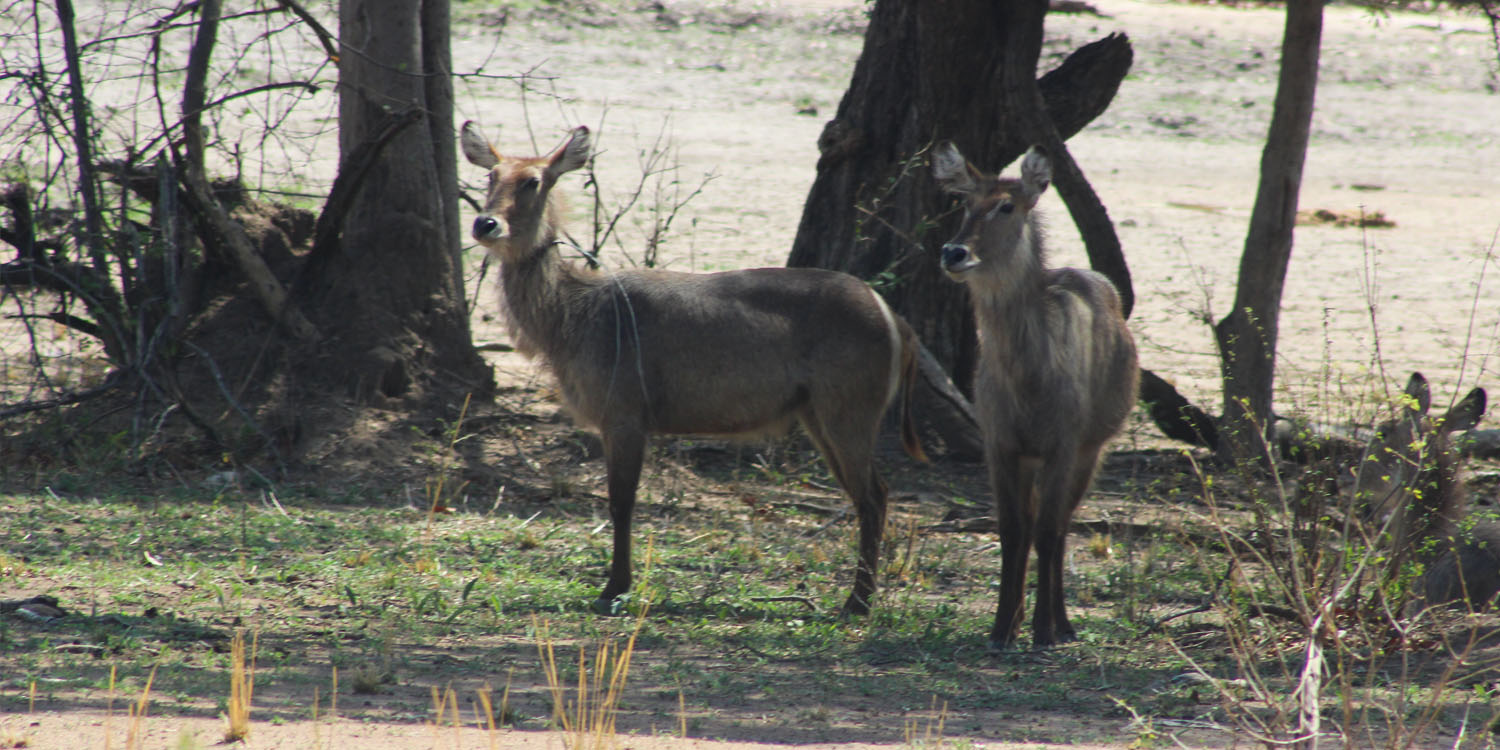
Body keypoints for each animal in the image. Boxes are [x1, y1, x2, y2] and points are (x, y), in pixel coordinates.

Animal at [459, 121, 924, 615]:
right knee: (868, 494)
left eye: (533, 181)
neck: (573, 315)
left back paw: (857, 603)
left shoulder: (624, 415)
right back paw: (857, 598)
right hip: (818, 415)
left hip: (848, 412)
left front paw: (614, 590)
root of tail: (896, 319)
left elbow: (621, 501)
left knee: (874, 495)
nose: (486, 223)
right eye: (491, 176)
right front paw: (617, 586)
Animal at [924, 143, 1134, 648]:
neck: (1028, 379)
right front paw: (1003, 627)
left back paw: (1063, 625)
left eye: (1007, 206)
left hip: (1091, 451)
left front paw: (1043, 630)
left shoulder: (1063, 446)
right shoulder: (1001, 446)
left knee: (1061, 526)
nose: (954, 252)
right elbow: (1013, 530)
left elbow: (1048, 531)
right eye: (965, 201)